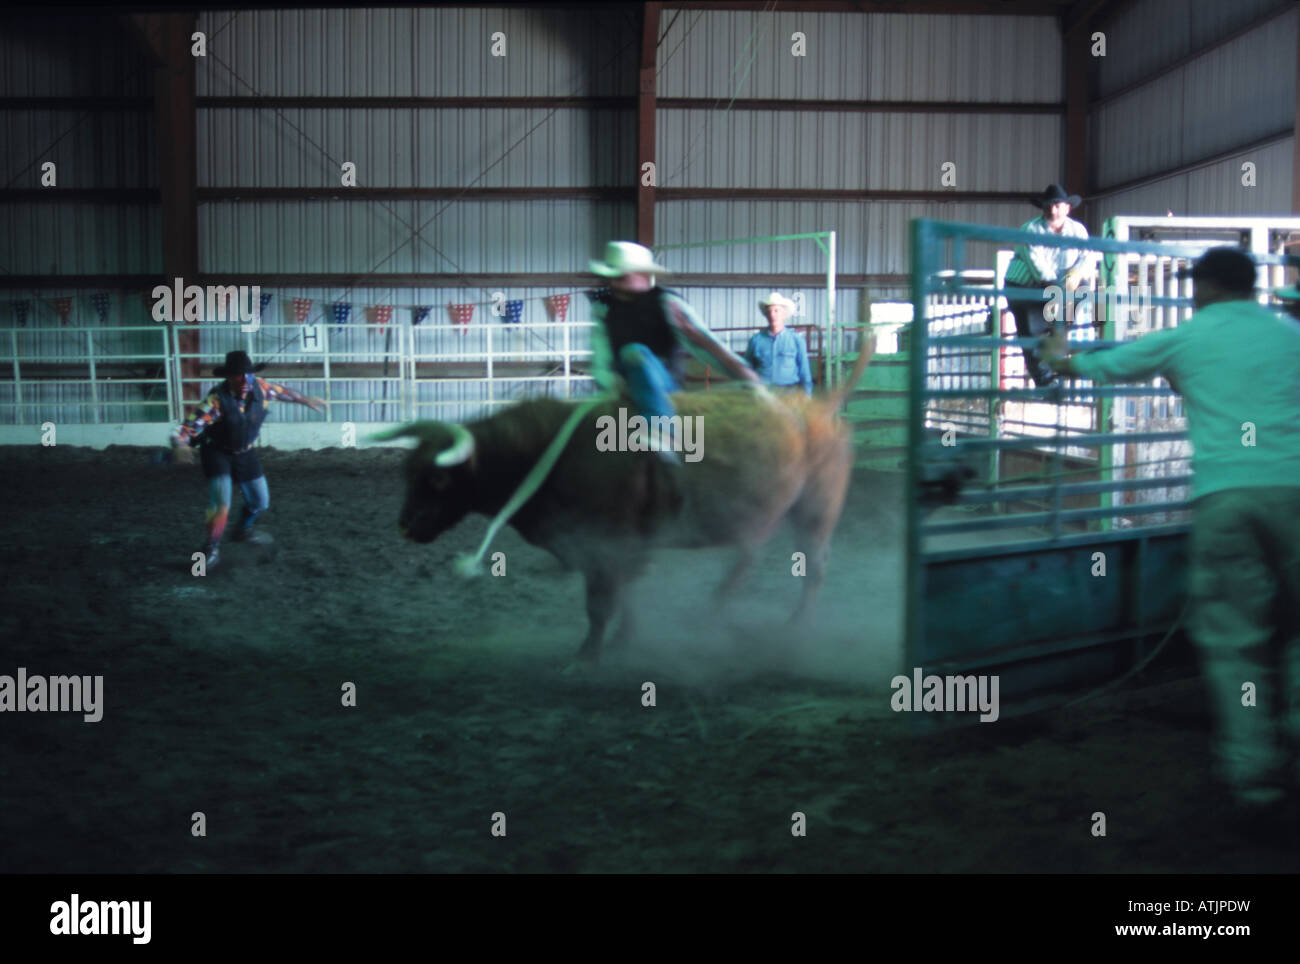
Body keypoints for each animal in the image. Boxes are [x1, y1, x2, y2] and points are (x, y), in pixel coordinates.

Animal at [379, 340, 878, 665]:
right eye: (406, 473)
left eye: (437, 478)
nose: (404, 525)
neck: (555, 448)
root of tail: (817, 406)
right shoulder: (618, 548)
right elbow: (625, 595)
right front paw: (624, 641)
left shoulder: (604, 545)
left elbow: (601, 603)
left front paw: (588, 655)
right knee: (749, 557)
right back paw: (717, 611)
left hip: (816, 511)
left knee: (812, 566)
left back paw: (791, 627)